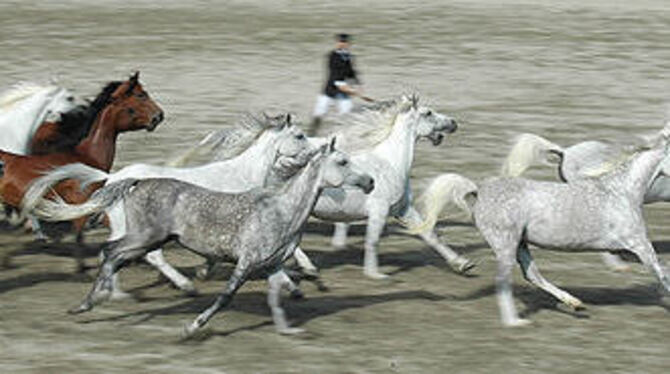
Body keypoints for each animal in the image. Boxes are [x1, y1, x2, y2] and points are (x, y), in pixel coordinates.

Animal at [0, 71, 163, 268]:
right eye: (141, 95)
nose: (159, 116)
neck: (85, 156)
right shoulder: (82, 203)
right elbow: (81, 234)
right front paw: (82, 267)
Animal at [30, 138, 372, 336]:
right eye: (342, 162)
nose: (370, 181)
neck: (282, 210)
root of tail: (133, 180)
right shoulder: (245, 263)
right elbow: (225, 297)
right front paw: (192, 326)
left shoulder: (272, 265)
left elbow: (276, 298)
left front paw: (289, 329)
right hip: (145, 236)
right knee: (111, 251)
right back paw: (90, 302)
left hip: (149, 239)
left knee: (116, 255)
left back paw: (98, 299)